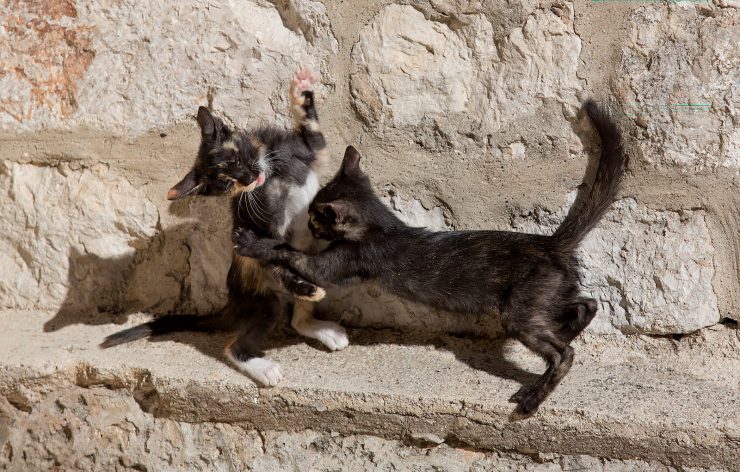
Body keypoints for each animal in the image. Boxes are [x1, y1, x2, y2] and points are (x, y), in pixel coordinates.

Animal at [100, 68, 350, 386]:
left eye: (237, 158)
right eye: (227, 183)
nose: (249, 178)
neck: (274, 177)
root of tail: (232, 302)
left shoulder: (308, 152)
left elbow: (314, 134)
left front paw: (300, 91)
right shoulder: (257, 230)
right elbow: (269, 252)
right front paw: (301, 285)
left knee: (297, 318)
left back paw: (321, 326)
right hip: (265, 304)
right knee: (234, 346)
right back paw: (263, 367)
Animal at [234, 101, 628, 414]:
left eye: (317, 217)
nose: (310, 225)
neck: (382, 225)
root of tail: (550, 243)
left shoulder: (334, 264)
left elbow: (288, 253)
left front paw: (253, 242)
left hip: (520, 312)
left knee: (564, 354)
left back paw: (533, 397)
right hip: (544, 298)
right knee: (587, 304)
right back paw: (565, 335)